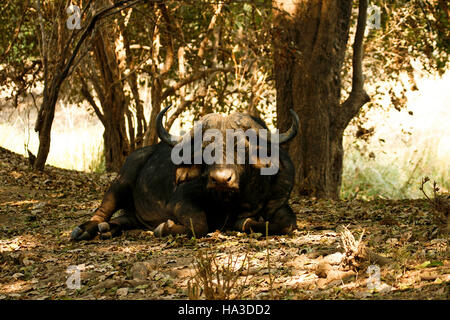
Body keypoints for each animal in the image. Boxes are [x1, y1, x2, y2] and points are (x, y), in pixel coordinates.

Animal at [71, 105, 298, 240]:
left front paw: (246, 221)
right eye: (205, 148)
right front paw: (164, 227)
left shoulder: (277, 202)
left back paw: (108, 229)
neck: (230, 200)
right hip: (120, 181)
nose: (221, 179)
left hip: (134, 215)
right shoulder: (179, 202)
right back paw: (85, 230)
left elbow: (287, 223)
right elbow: (199, 225)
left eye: (242, 146)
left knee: (122, 219)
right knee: (102, 211)